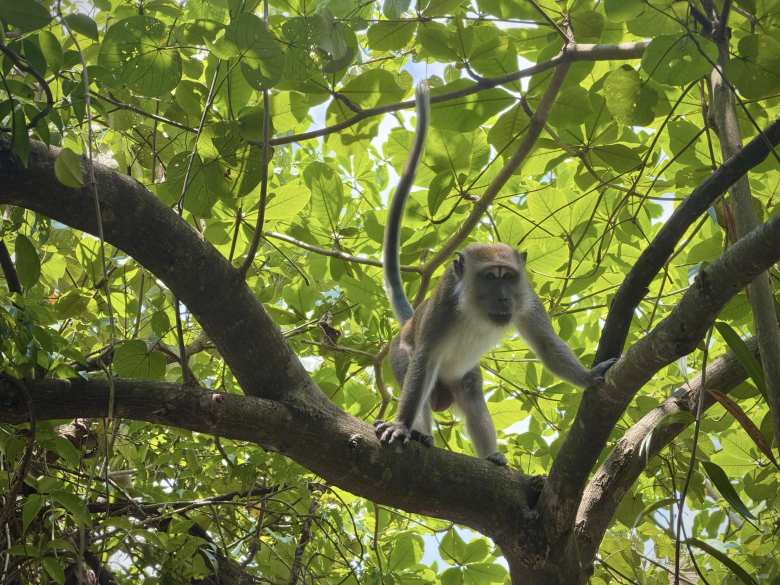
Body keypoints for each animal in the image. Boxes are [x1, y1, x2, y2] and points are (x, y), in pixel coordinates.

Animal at [374, 84, 617, 465]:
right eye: (491, 277)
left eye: (509, 277)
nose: (504, 298)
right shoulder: (444, 305)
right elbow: (424, 361)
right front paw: (402, 425)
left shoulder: (528, 300)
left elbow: (546, 345)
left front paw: (589, 377)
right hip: (399, 353)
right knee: (418, 378)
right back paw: (418, 433)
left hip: (461, 375)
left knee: (472, 392)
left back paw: (491, 456)